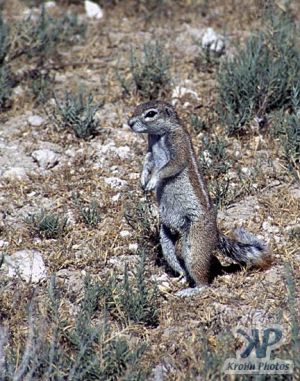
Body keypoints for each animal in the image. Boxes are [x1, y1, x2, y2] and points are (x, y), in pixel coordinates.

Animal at [127, 99, 270, 296]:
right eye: (137, 107)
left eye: (150, 113)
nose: (130, 123)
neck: (159, 136)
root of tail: (215, 233)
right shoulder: (149, 150)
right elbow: (147, 162)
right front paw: (142, 180)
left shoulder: (178, 145)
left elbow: (169, 167)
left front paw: (152, 181)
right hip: (165, 238)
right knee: (177, 261)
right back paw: (180, 277)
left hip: (195, 243)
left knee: (202, 279)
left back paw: (191, 291)